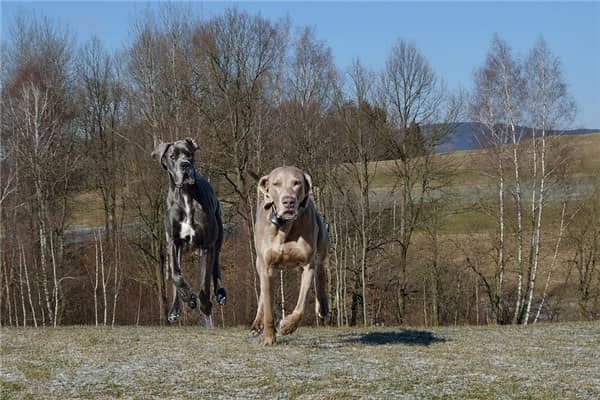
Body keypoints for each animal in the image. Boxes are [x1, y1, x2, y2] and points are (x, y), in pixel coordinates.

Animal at [151, 138, 226, 322]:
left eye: (189, 154)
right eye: (172, 156)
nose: (185, 165)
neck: (185, 195)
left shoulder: (207, 245)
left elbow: (205, 281)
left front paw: (204, 305)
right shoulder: (172, 242)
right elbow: (176, 275)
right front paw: (188, 298)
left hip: (219, 235)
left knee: (216, 265)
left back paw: (220, 293)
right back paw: (175, 310)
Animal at [252, 167, 330, 346]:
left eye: (297, 183)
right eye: (276, 184)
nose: (288, 201)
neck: (285, 227)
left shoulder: (307, 265)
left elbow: (301, 305)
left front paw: (287, 326)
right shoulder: (266, 266)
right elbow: (268, 304)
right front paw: (268, 337)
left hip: (321, 242)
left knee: (321, 270)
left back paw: (323, 306)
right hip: (260, 263)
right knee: (263, 292)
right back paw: (257, 323)